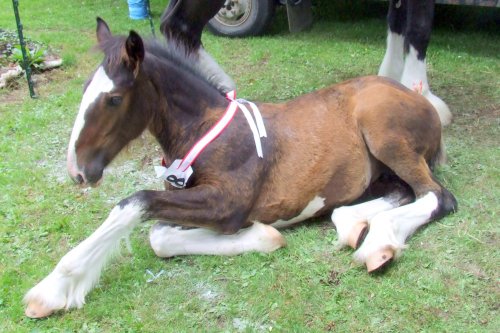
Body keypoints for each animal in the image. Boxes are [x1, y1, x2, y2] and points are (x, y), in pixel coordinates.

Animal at [26, 19, 458, 318]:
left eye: (114, 98)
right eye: (84, 89)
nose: (78, 171)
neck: (205, 132)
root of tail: (423, 101)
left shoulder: (227, 203)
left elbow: (134, 205)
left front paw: (52, 290)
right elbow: (160, 237)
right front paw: (263, 235)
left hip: (386, 136)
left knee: (437, 196)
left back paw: (378, 245)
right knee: (395, 193)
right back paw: (357, 228)